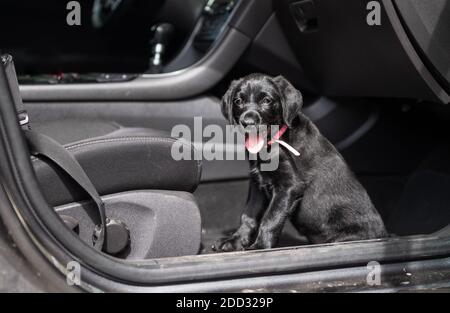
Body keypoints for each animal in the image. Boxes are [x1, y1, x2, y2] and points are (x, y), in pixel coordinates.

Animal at [214, 73, 386, 251]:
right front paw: (235, 240)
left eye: (267, 100)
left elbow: (271, 219)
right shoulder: (257, 185)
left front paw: (260, 247)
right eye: (238, 101)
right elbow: (249, 214)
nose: (247, 122)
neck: (273, 141)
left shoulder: (289, 186)